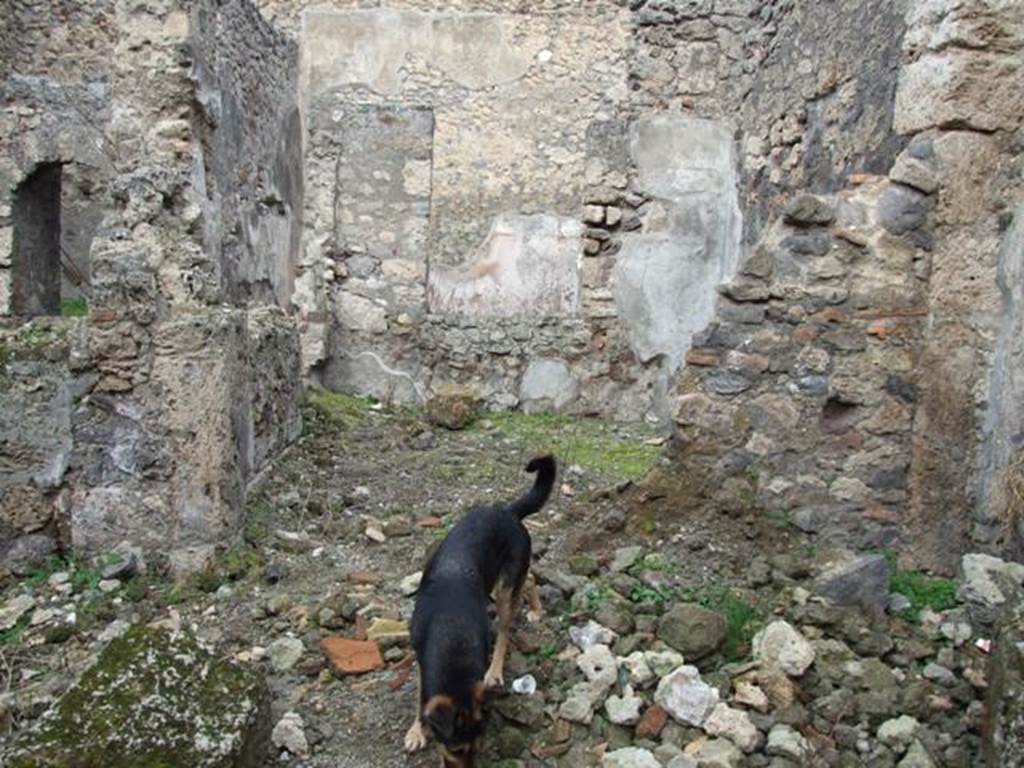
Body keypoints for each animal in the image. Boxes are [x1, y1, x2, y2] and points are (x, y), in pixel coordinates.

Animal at [403, 454, 557, 765]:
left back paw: (495, 670)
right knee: (530, 579)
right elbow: (420, 697)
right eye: (455, 749)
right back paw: (535, 607)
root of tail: (508, 512)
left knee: (507, 626)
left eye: (479, 746)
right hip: (506, 580)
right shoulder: (422, 659)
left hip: (504, 588)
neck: (452, 635)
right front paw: (417, 730)